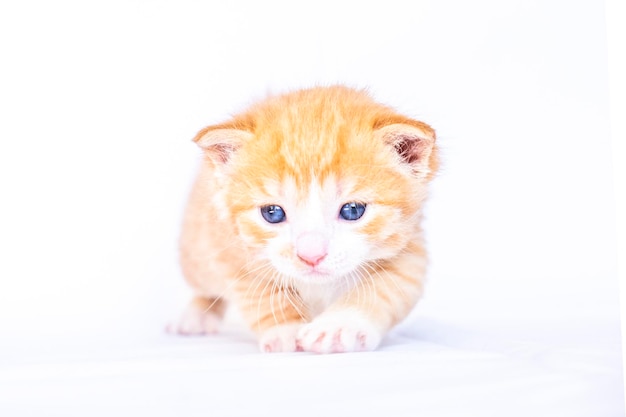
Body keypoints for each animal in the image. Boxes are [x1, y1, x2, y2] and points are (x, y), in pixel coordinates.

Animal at [168, 86, 436, 352]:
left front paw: (339, 326)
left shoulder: (409, 249)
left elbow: (383, 289)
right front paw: (285, 330)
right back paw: (197, 315)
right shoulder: (231, 252)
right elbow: (262, 295)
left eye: (352, 210)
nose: (311, 256)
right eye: (272, 213)